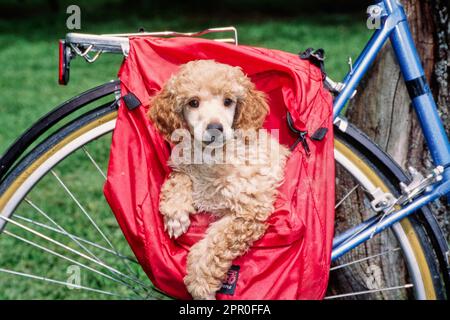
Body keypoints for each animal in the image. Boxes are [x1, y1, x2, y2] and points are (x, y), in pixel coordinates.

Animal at [148, 59, 288, 300]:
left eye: (228, 101)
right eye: (193, 102)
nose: (215, 129)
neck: (212, 157)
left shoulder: (250, 211)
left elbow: (215, 244)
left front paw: (200, 285)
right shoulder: (182, 165)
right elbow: (178, 178)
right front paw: (176, 213)